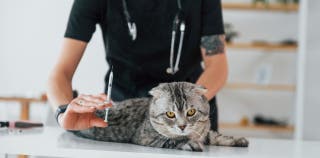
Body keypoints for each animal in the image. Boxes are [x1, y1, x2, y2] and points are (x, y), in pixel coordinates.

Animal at [72, 82, 248, 151]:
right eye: (170, 114)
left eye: (191, 112)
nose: (182, 126)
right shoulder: (146, 138)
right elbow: (172, 140)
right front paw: (189, 143)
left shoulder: (204, 132)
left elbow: (216, 135)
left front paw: (237, 140)